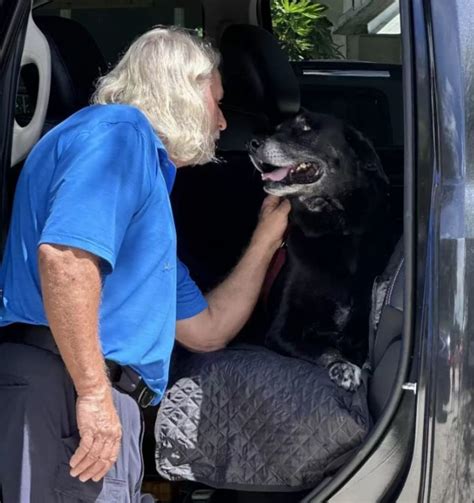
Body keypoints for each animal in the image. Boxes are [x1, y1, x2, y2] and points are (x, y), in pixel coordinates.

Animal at [248, 112, 388, 392]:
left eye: (305, 127)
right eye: (277, 128)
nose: (252, 143)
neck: (333, 231)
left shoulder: (359, 327)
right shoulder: (280, 331)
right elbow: (323, 349)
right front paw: (343, 367)